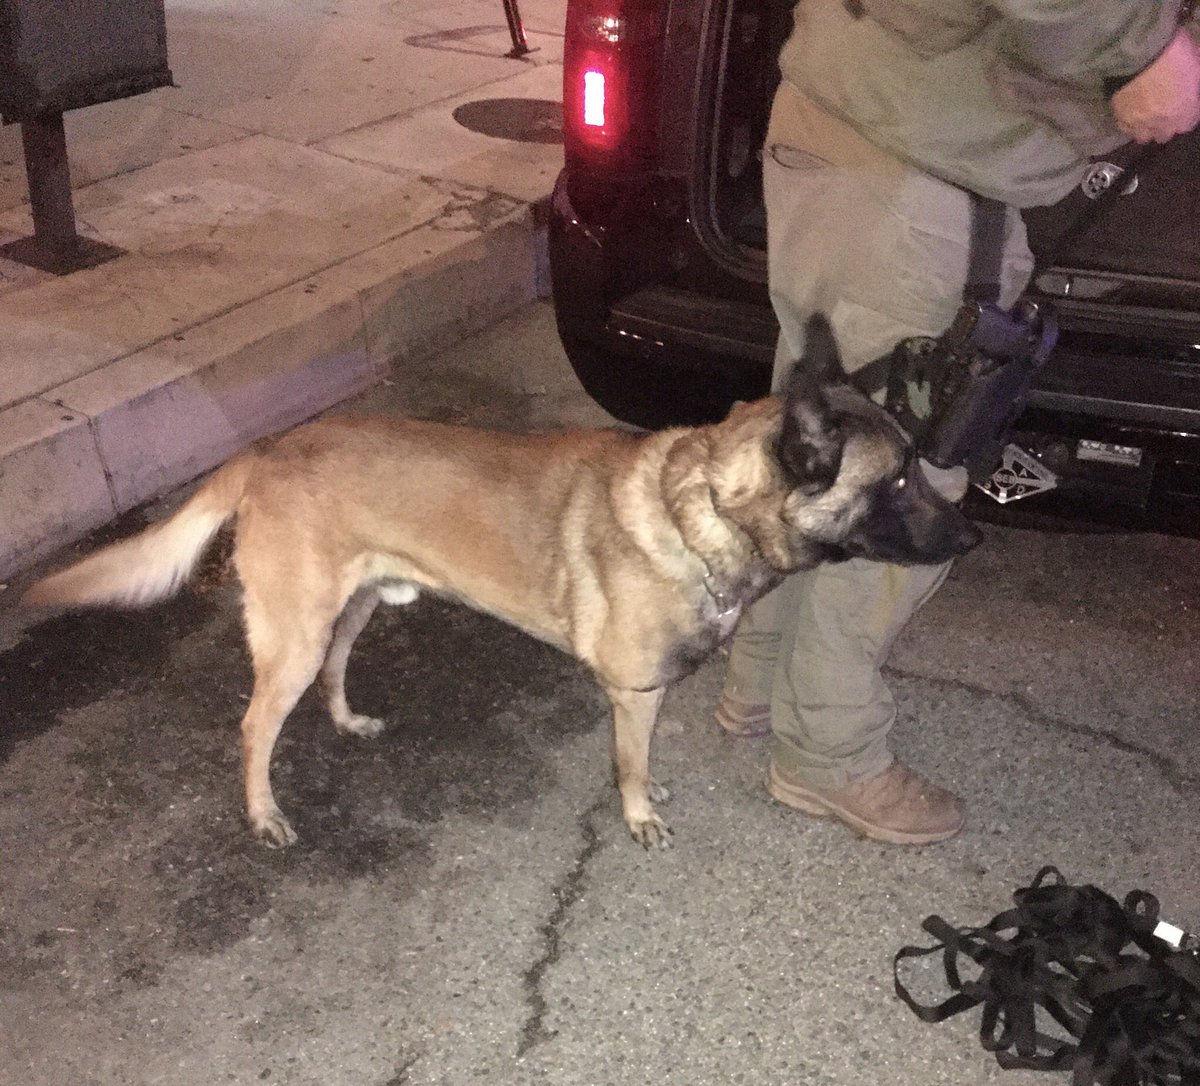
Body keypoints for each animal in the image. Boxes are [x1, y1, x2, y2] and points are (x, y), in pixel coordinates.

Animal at [25, 314, 984, 849]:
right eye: (900, 479)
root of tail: (267, 450)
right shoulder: (634, 694)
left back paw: (346, 721)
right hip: (293, 633)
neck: (703, 507)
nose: (974, 534)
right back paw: (264, 815)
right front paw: (639, 816)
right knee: (255, 724)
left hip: (354, 606)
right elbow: (632, 764)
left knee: (335, 667)